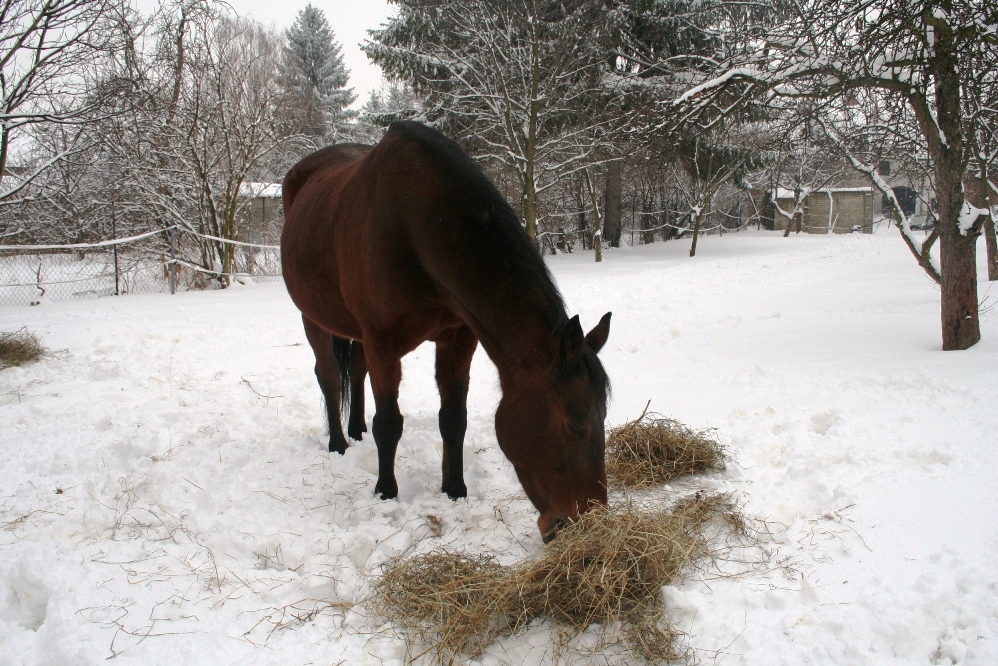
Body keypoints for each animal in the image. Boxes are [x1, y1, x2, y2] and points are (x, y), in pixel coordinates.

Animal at [278, 122, 612, 544]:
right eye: (575, 424)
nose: (584, 524)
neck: (414, 230)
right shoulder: (382, 342)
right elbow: (389, 423)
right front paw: (386, 492)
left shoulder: (457, 338)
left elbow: (454, 418)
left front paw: (455, 490)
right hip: (314, 319)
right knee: (329, 377)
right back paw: (338, 443)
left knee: (354, 369)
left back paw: (355, 431)